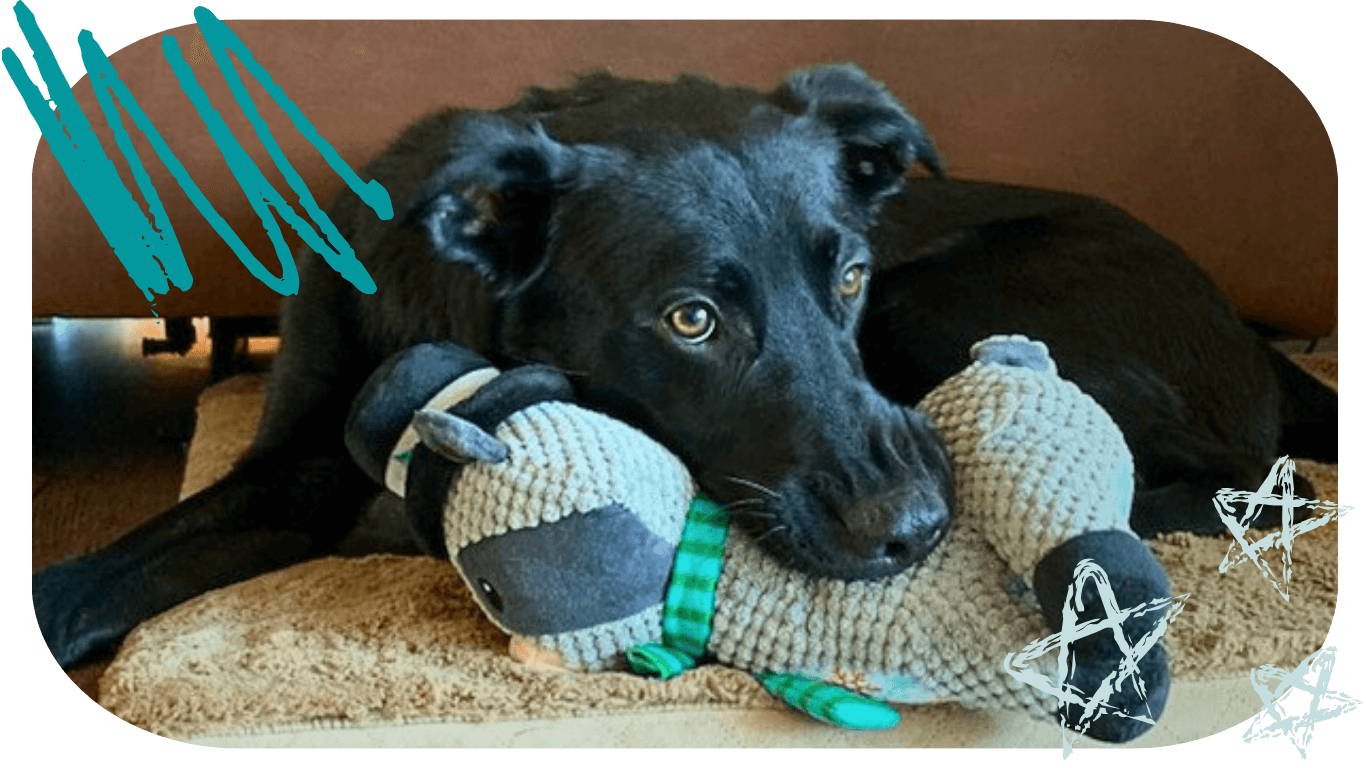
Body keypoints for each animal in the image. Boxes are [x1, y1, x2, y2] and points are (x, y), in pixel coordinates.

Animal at [32, 61, 1333, 737]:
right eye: (690, 320)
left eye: (846, 274)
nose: (916, 532)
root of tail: (1251, 340)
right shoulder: (286, 466)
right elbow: (98, 575)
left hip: (944, 306)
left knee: (1208, 483)